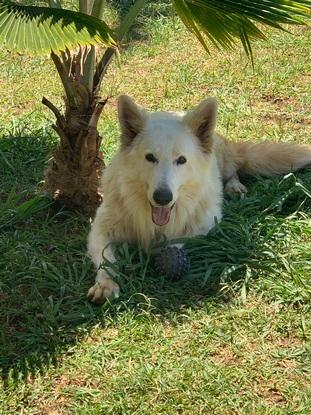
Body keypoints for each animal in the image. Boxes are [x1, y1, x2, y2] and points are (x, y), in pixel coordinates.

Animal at [87, 97, 311, 306]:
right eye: (150, 157)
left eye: (181, 160)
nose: (163, 198)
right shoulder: (100, 229)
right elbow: (106, 260)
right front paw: (105, 284)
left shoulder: (207, 223)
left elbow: (176, 241)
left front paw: (162, 255)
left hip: (222, 162)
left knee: (233, 169)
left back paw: (234, 186)